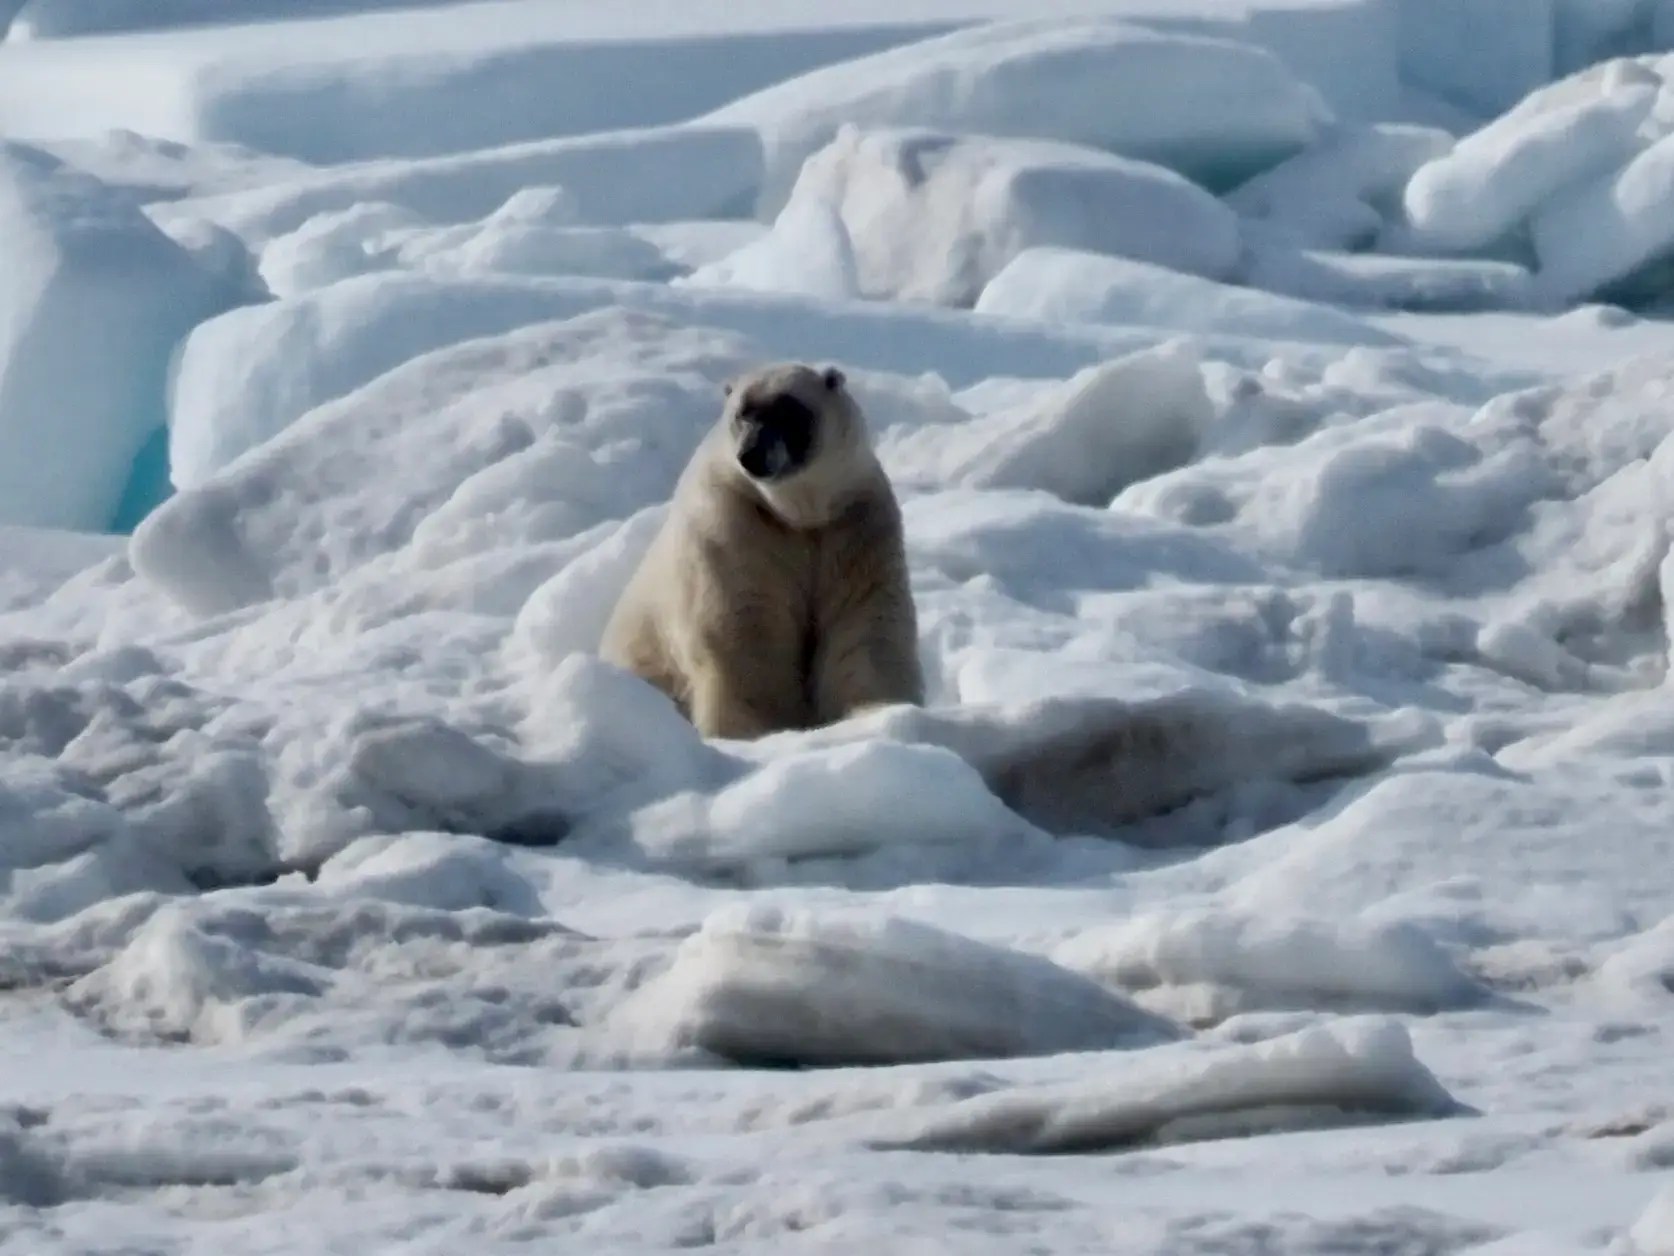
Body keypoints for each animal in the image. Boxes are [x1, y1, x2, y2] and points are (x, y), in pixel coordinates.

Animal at [599, 361, 924, 740]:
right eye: (742, 413)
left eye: (787, 411)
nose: (751, 455)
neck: (799, 515)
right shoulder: (736, 529)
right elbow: (745, 631)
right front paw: (759, 731)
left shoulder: (856, 527)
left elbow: (862, 623)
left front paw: (876, 712)